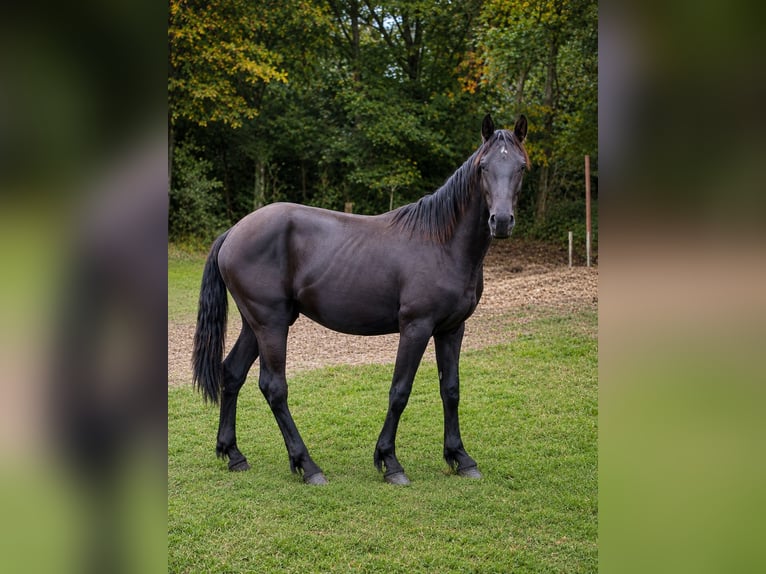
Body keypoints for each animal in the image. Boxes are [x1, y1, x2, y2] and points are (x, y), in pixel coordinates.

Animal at [192, 114, 529, 485]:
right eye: (483, 166)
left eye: (521, 166)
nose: (501, 221)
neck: (442, 243)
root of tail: (233, 232)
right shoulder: (416, 327)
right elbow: (400, 391)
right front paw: (389, 462)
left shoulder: (451, 329)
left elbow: (451, 390)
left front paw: (460, 457)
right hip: (271, 324)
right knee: (273, 387)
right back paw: (307, 465)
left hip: (256, 324)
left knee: (232, 373)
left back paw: (234, 454)